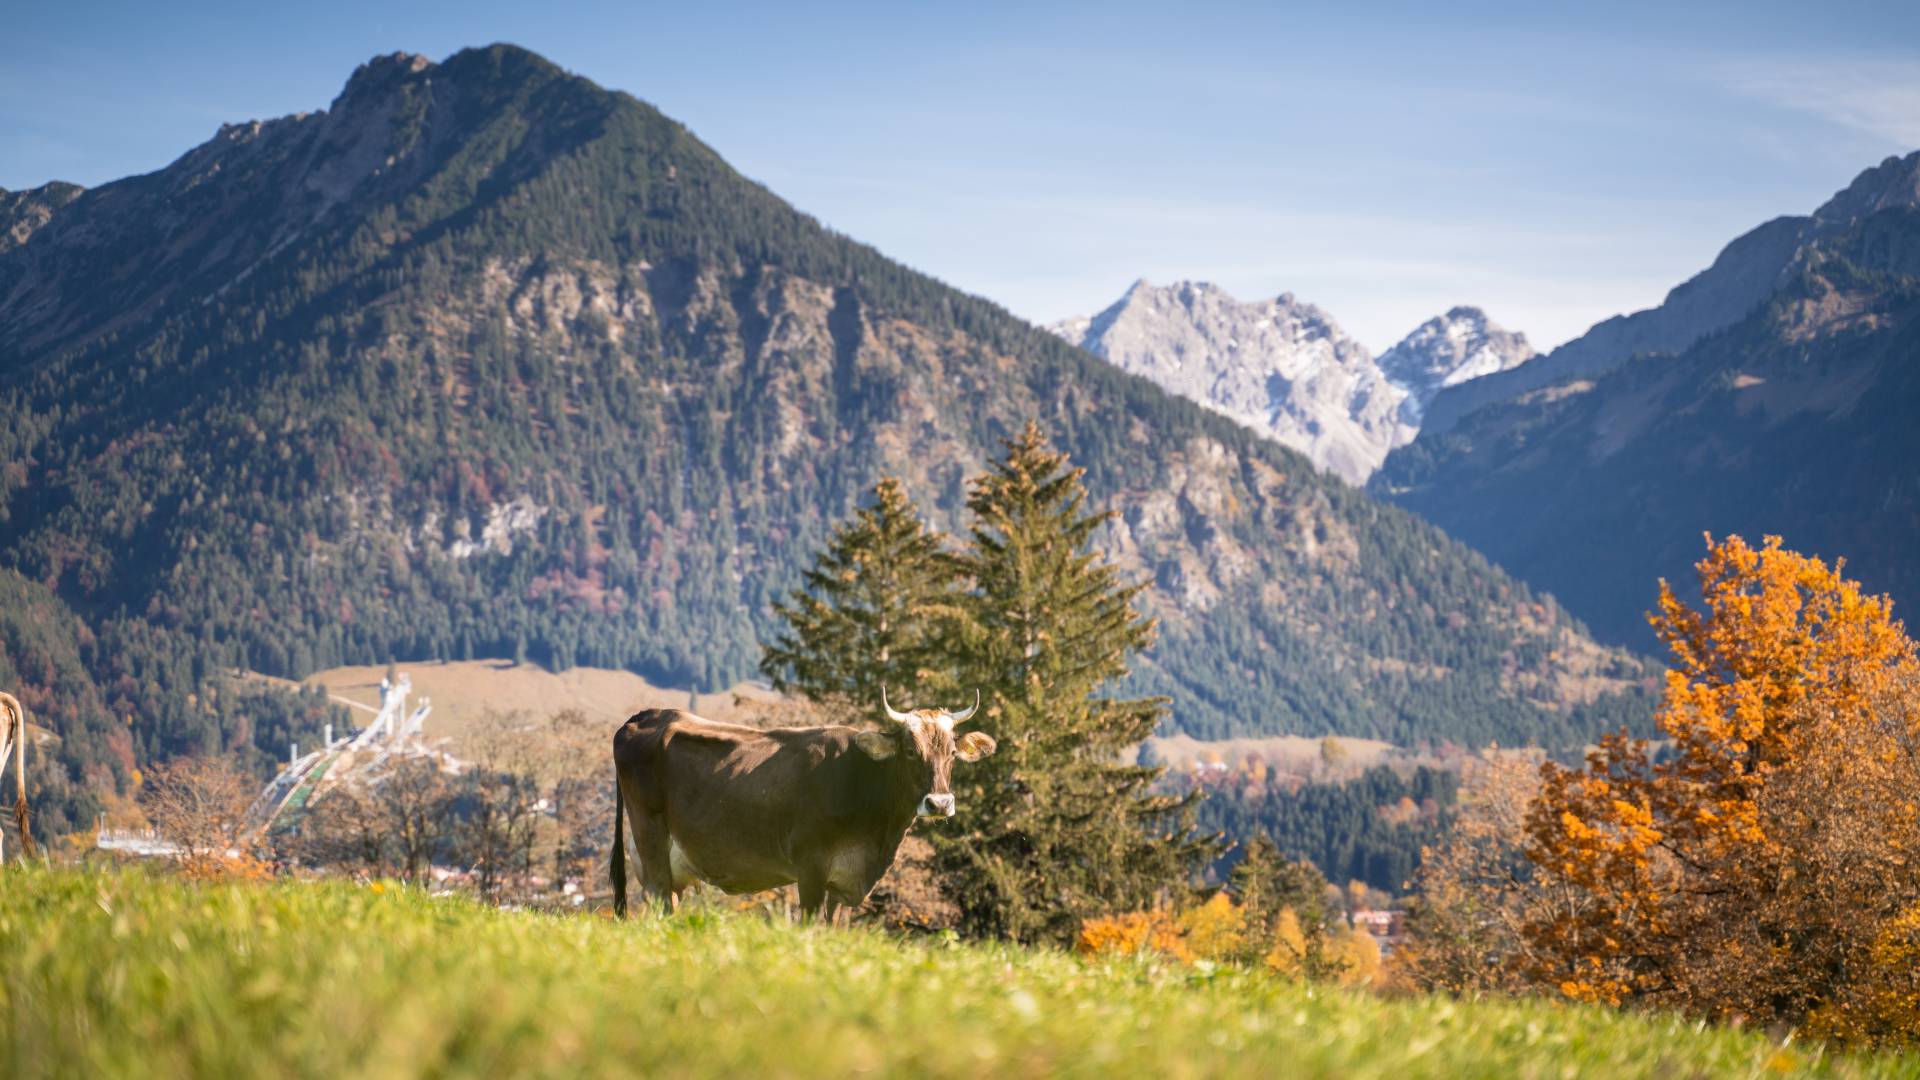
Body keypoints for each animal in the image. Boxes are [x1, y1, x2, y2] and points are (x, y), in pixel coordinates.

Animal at [614, 687, 998, 914]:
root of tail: (648, 715)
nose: (939, 803)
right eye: (909, 751)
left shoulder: (846, 885)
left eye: (951, 753)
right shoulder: (810, 869)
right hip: (652, 844)